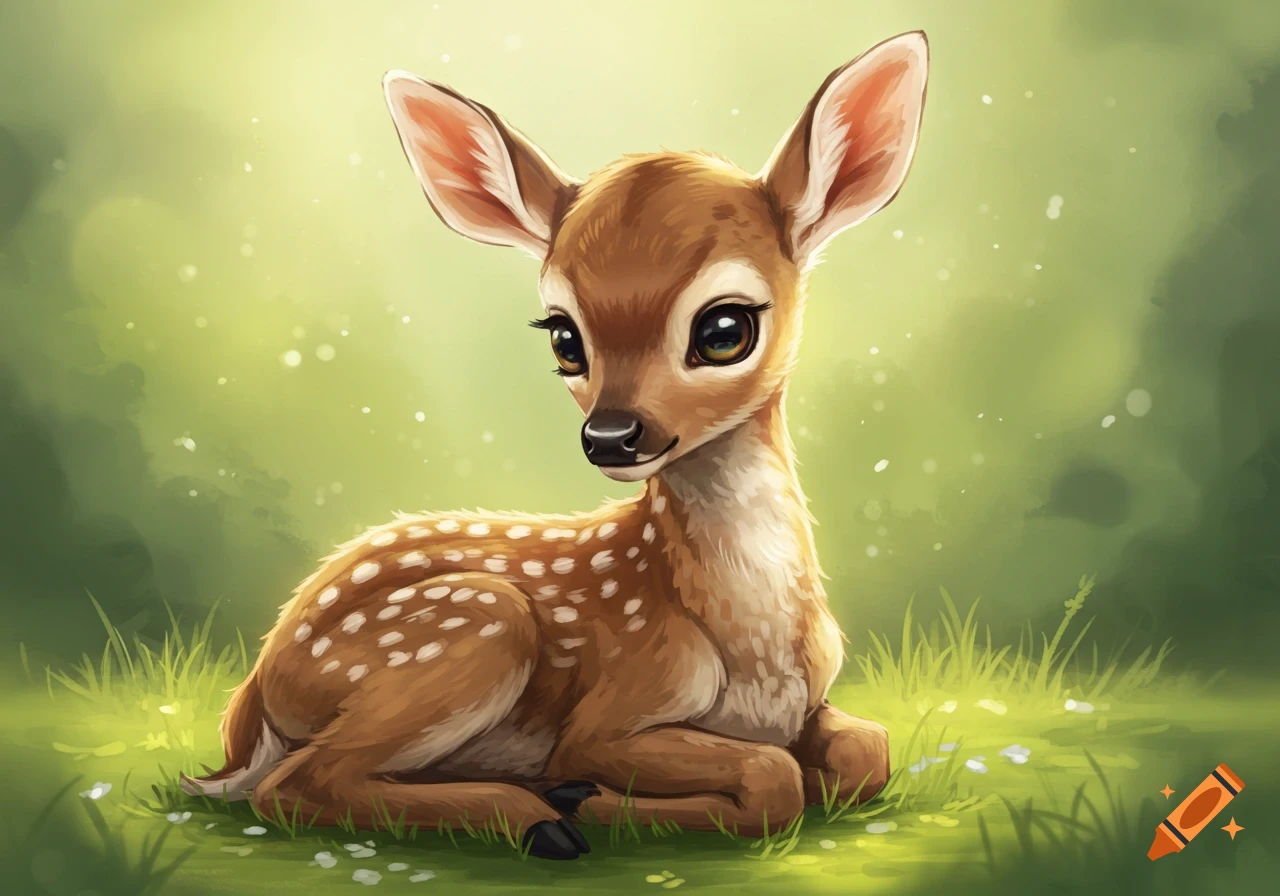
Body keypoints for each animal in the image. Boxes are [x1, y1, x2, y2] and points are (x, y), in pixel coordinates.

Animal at [181, 31, 929, 860]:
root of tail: (255, 695)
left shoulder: (816, 707)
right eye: (565, 338)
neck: (758, 651)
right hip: (474, 627)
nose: (611, 436)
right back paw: (539, 817)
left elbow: (867, 750)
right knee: (298, 785)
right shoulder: (609, 715)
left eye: (725, 328)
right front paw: (594, 799)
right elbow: (772, 777)